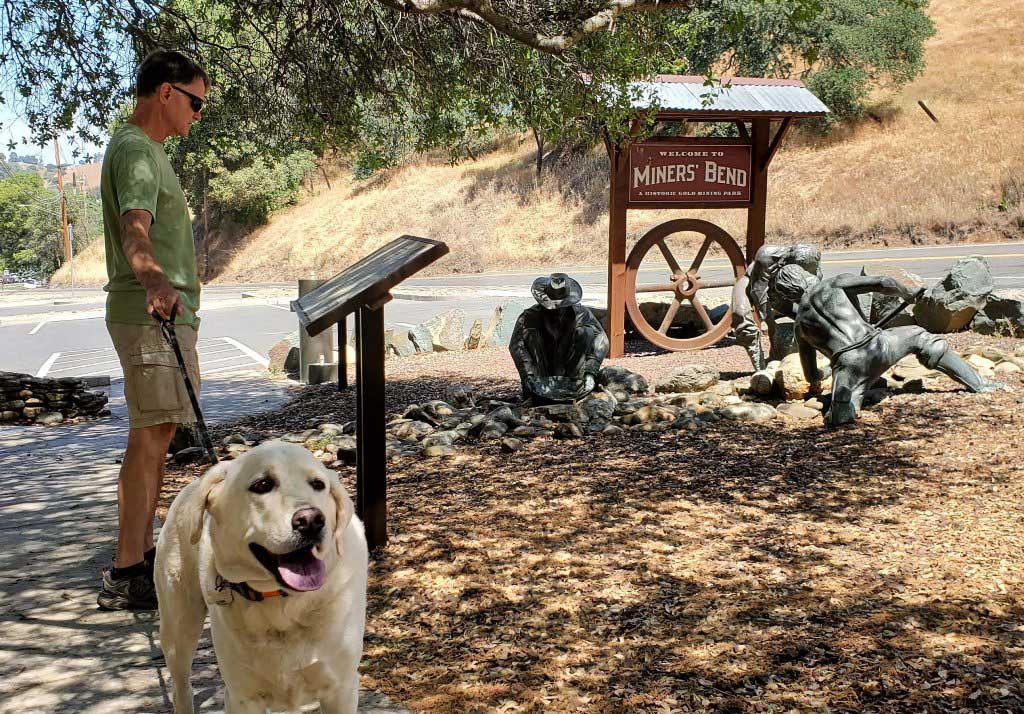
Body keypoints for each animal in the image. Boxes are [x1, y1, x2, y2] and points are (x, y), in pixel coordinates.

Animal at [155, 440, 368, 712]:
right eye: (262, 485)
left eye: (318, 484)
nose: (311, 520)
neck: (280, 602)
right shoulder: (242, 696)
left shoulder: (341, 689)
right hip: (178, 630)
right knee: (181, 687)